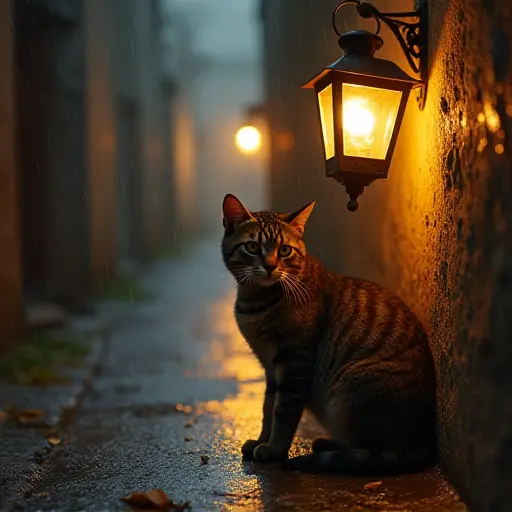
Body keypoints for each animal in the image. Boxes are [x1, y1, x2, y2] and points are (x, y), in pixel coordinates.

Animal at [220, 193, 436, 476]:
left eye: (284, 250)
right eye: (253, 247)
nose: (270, 266)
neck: (255, 299)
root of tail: (425, 442)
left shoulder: (294, 361)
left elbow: (283, 411)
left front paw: (274, 449)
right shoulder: (270, 367)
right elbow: (267, 408)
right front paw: (261, 439)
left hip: (350, 387)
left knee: (372, 451)